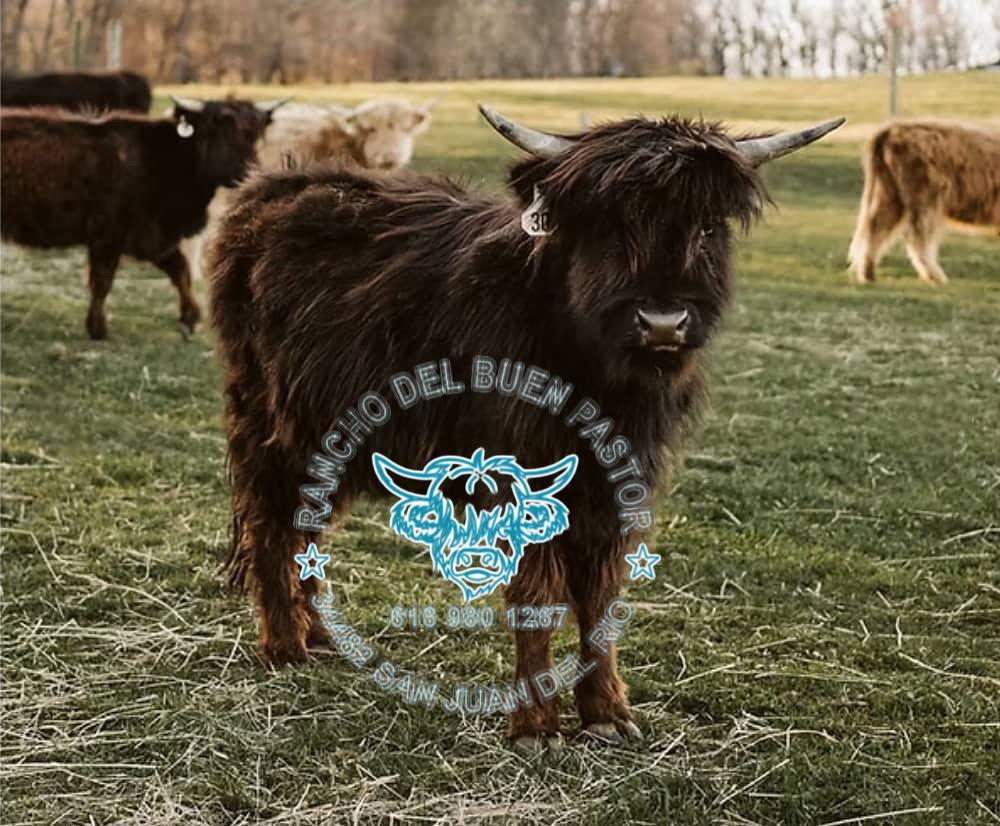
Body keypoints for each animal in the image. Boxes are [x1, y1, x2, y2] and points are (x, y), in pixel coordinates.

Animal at [1, 95, 284, 339]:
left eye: (255, 133)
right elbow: (102, 281)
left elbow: (180, 270)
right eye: (216, 130)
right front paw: (98, 328)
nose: (249, 174)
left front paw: (190, 318)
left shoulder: (153, 237)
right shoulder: (109, 235)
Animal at [209, 106, 843, 749]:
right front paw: (536, 725)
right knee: (271, 525)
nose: (663, 322)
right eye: (609, 226)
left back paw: (316, 634)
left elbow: (601, 594)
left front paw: (607, 713)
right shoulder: (518, 472)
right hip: (272, 423)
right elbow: (537, 593)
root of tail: (276, 186)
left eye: (708, 227)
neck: (594, 375)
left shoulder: (619, 484)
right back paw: (284, 646)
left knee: (305, 528)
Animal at [848, 119, 1000, 284]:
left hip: (890, 195)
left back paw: (867, 274)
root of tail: (895, 128)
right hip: (927, 198)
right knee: (917, 237)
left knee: (876, 228)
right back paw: (935, 276)